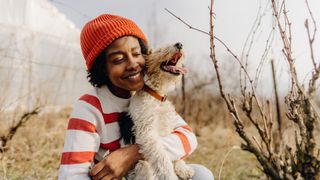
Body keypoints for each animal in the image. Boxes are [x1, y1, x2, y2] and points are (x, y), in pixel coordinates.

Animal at [119, 42, 194, 180]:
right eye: (159, 49)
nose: (179, 44)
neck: (157, 96)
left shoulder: (168, 127)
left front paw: (183, 169)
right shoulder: (147, 133)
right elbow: (161, 157)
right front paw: (170, 175)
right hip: (142, 167)